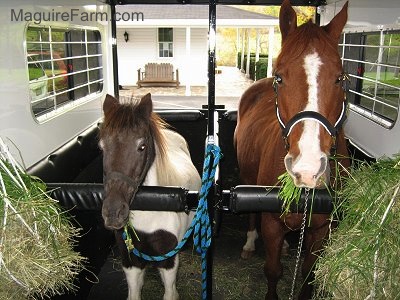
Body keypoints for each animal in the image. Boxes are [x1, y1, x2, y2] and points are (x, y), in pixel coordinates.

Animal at [99, 92, 202, 298]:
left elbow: (170, 293)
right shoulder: (131, 263)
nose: (113, 213)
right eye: (102, 146)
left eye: (142, 146)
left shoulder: (168, 263)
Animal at [234, 1, 350, 298]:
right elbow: (273, 270)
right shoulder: (271, 223)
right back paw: (249, 243)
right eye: (279, 77)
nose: (307, 169)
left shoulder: (321, 229)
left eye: (339, 78)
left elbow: (309, 274)